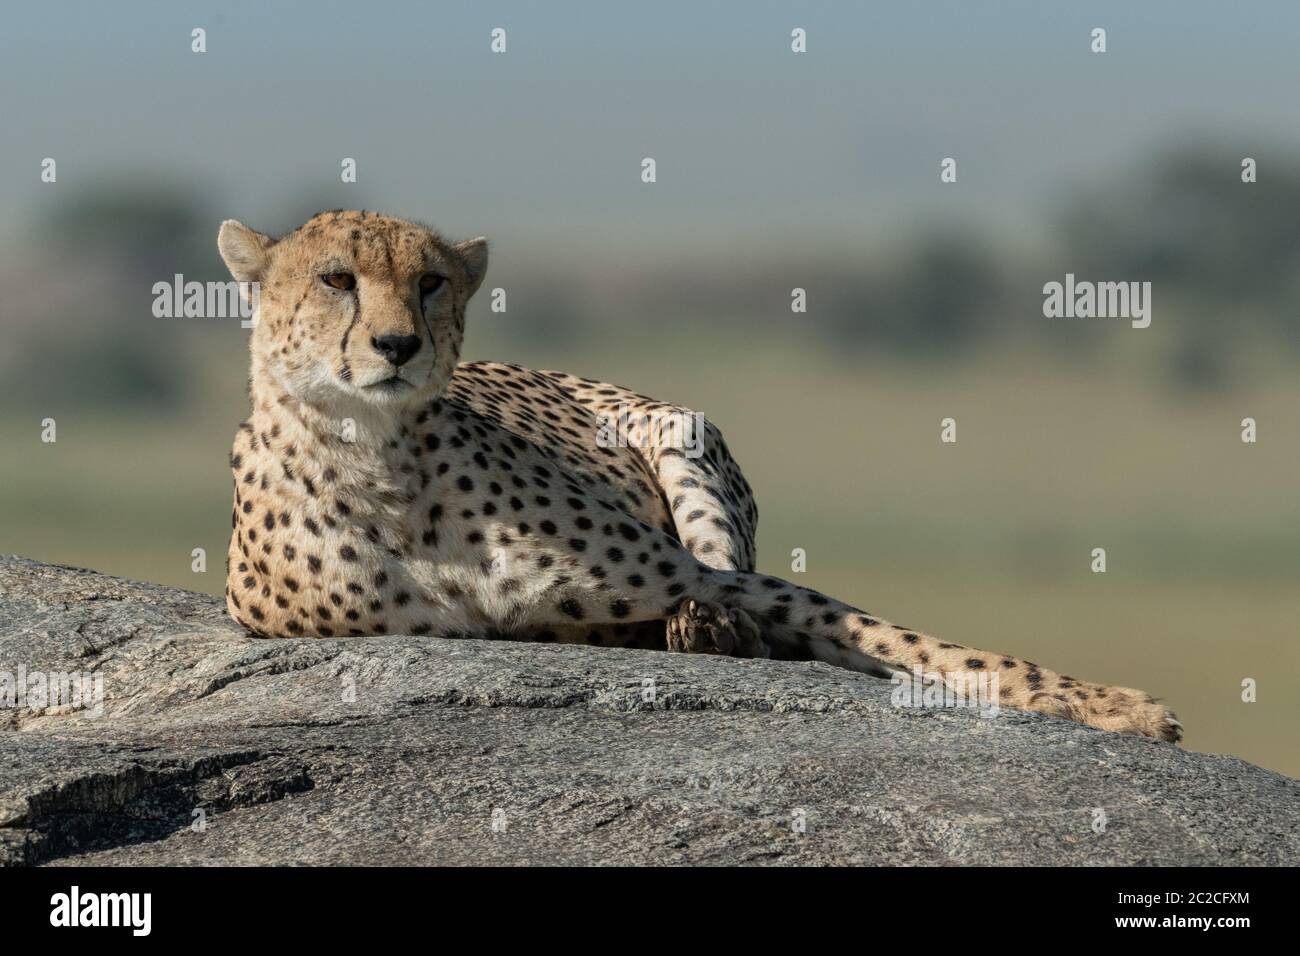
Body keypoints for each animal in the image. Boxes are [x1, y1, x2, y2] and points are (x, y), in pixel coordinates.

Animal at [220, 213, 1180, 743]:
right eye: (337, 279)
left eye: (429, 282)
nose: (398, 345)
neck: (382, 459)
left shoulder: (689, 569)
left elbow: (930, 645)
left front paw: (1119, 709)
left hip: (683, 441)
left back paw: (713, 630)